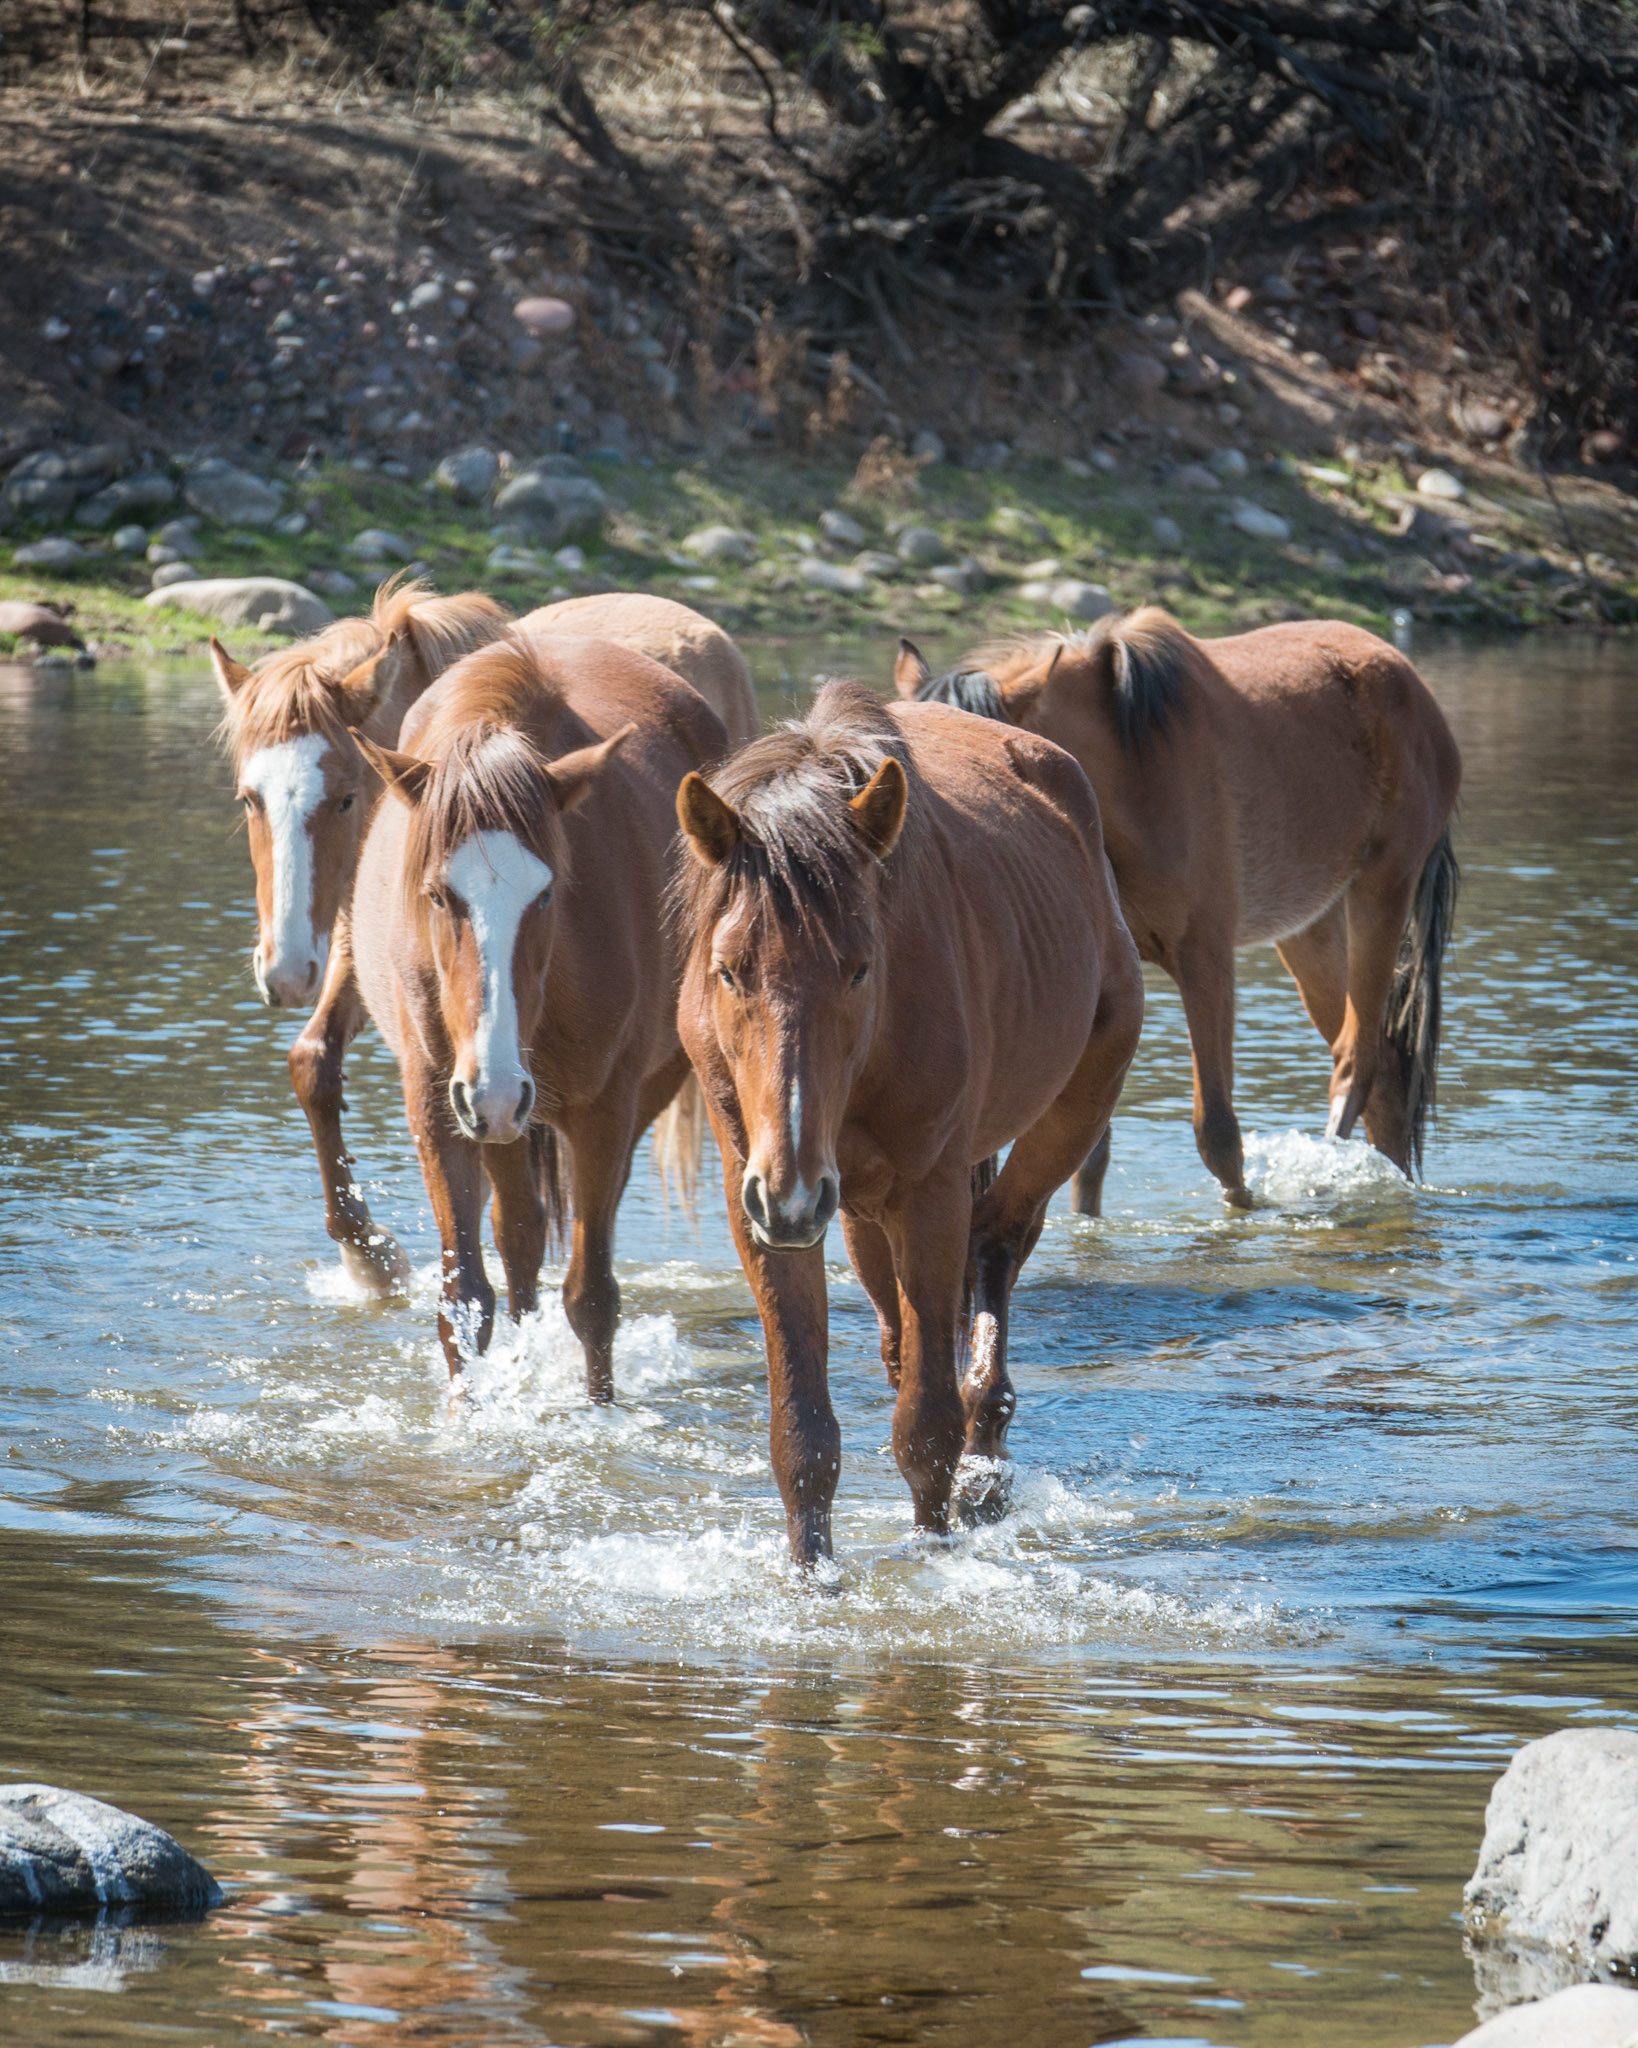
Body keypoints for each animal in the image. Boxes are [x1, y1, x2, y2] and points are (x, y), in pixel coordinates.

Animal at [349, 629, 728, 1394]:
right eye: (437, 895)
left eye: (547, 894)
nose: (496, 1089)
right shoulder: (438, 1102)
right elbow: (464, 1295)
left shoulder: (604, 1111)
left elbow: (593, 1296)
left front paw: (599, 1410)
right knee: (518, 1236)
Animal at [673, 680, 1143, 1565]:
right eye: (729, 969)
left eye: (860, 968)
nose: (792, 1188)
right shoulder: (760, 1197)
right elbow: (804, 1433)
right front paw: (812, 1571)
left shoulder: (927, 1194)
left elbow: (927, 1428)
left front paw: (934, 1550)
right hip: (853, 1206)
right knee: (902, 1334)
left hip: (1065, 1118)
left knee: (996, 1247)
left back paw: (986, 1461)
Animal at [896, 608, 1461, 1210]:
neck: (1128, 779)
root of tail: (1411, 683)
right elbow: (1086, 1151)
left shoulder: (1205, 958)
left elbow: (1218, 1133)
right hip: (1309, 927)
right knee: (1385, 1075)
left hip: (1383, 888)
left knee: (1358, 1064)